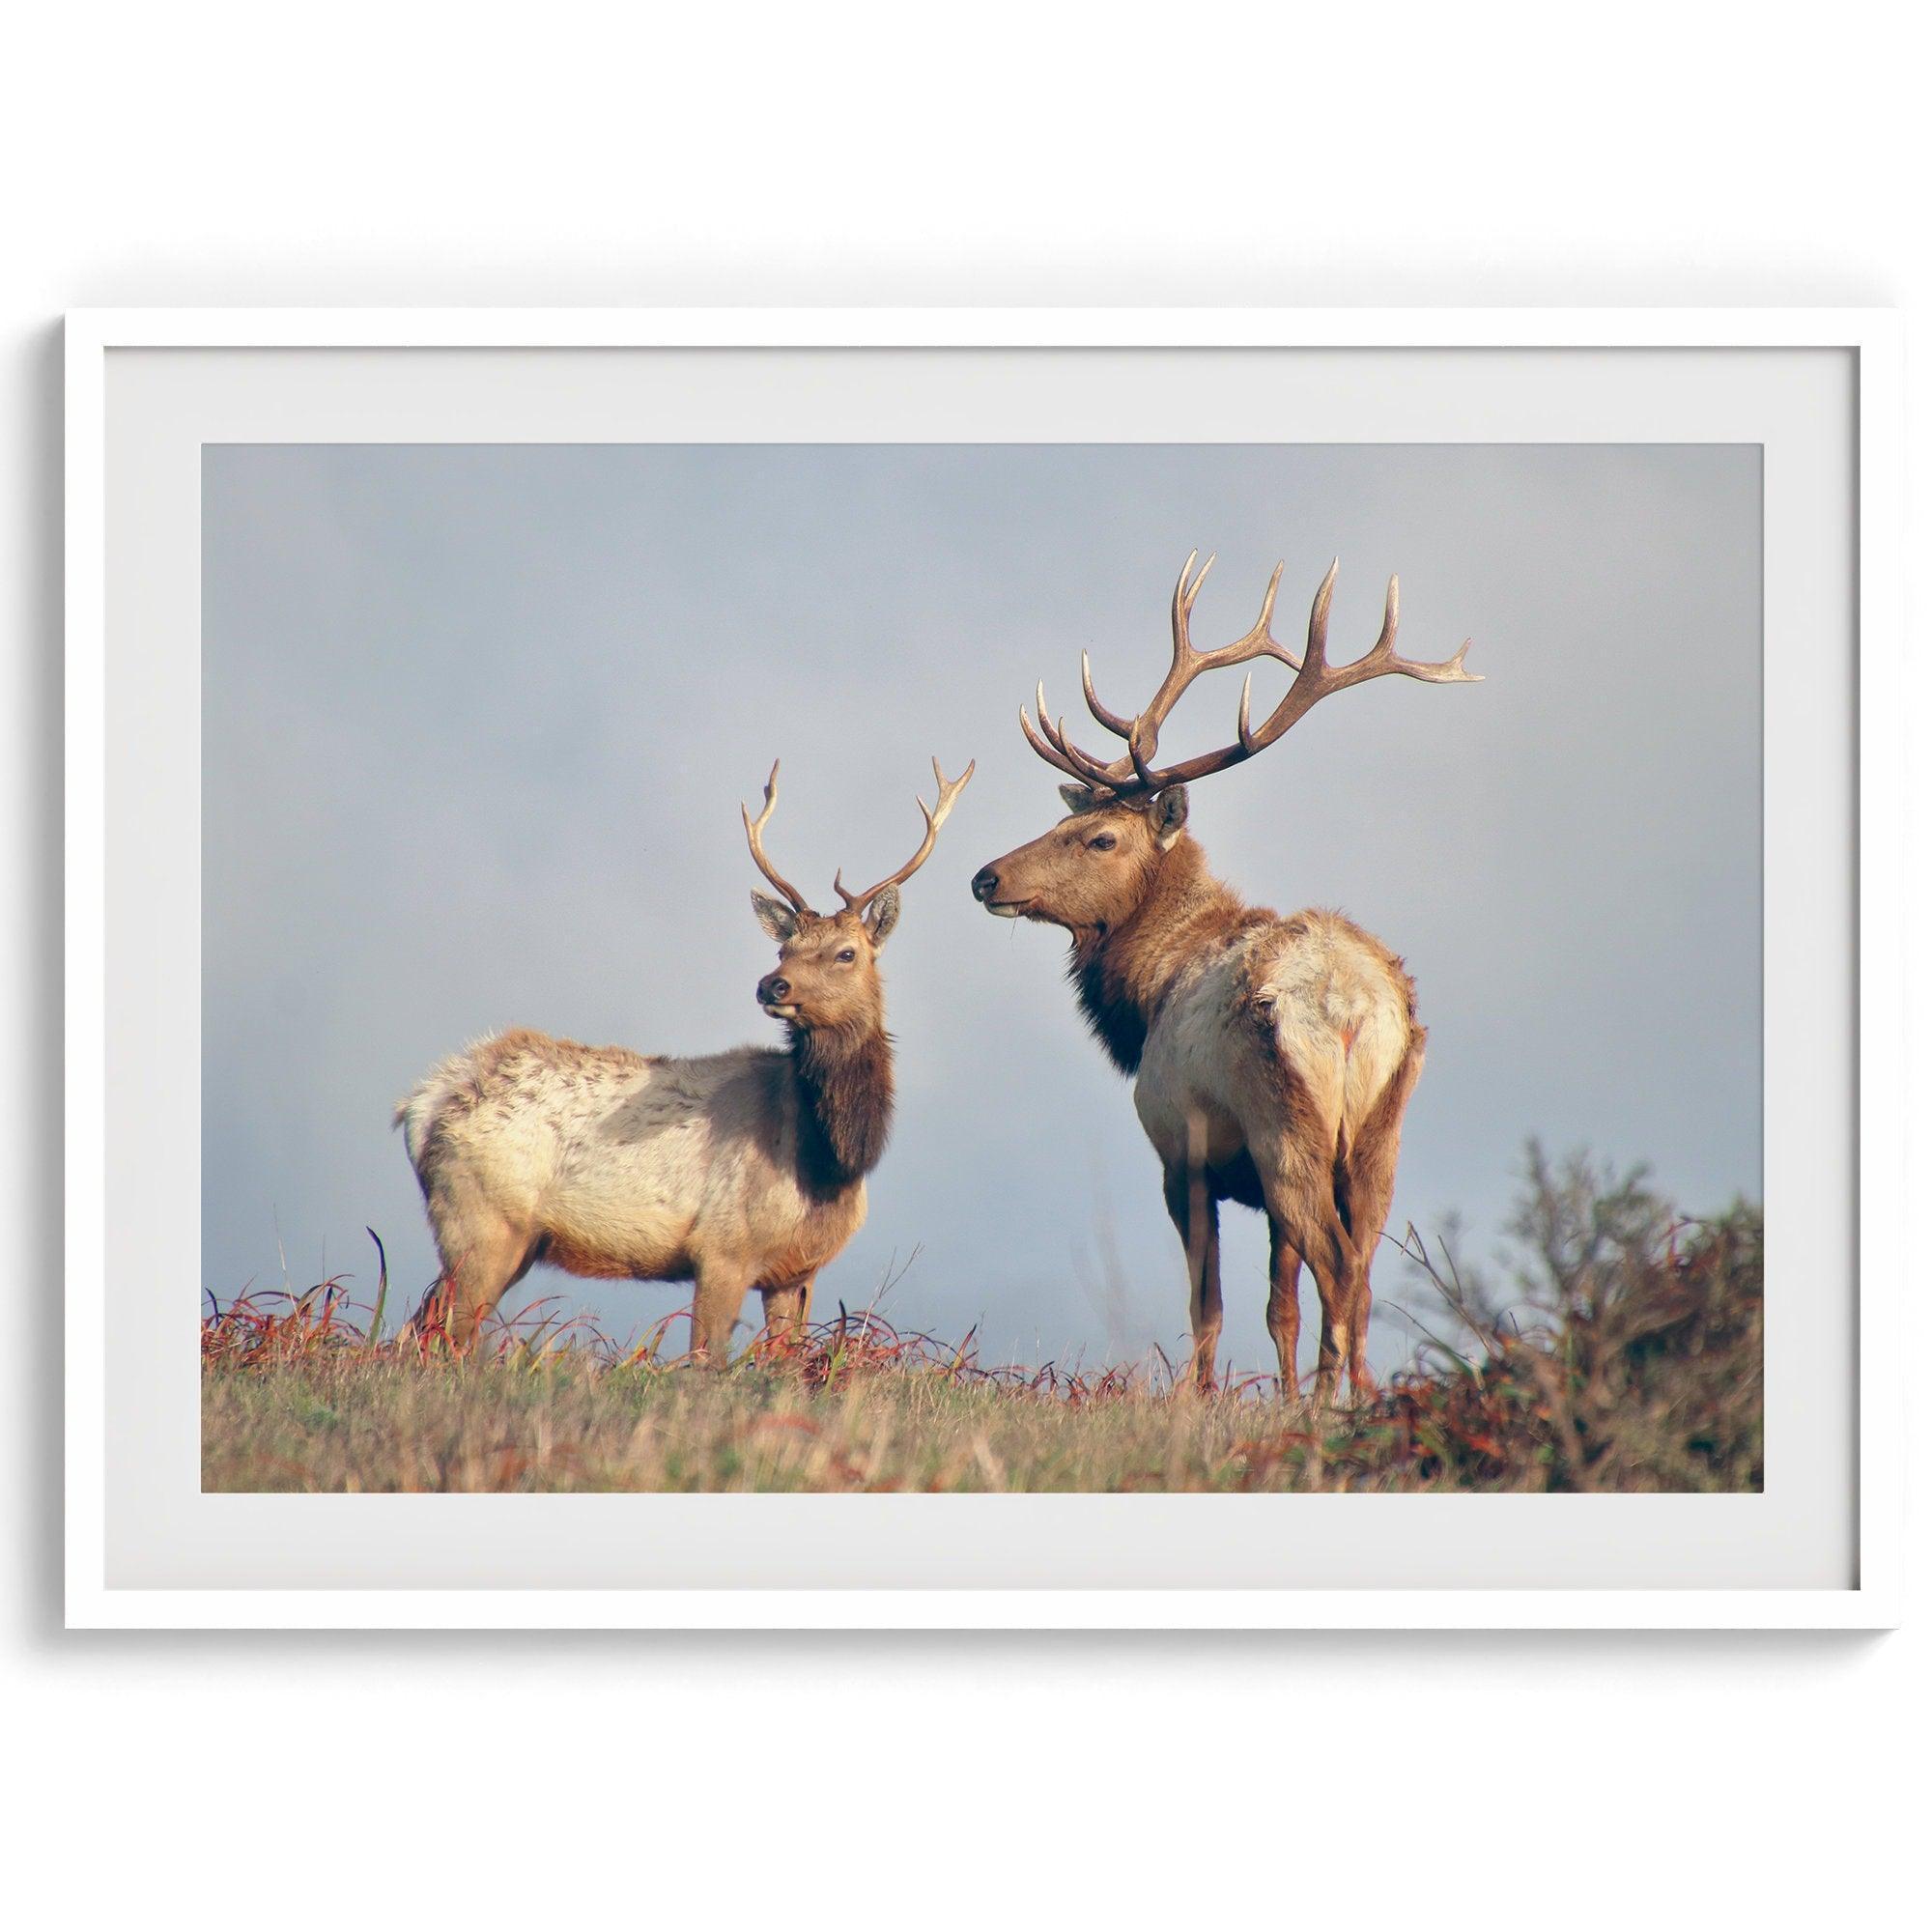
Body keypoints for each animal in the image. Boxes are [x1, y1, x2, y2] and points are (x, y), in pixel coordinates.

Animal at [394, 753, 974, 1360]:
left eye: (846, 953)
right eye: (783, 948)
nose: (772, 985)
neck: (828, 1166)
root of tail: (421, 1105)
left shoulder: (797, 1270)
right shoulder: (721, 1246)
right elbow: (704, 1361)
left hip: (505, 1238)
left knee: (416, 1328)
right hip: (481, 1219)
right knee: (442, 1337)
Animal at [974, 553, 1468, 1399]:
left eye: (1100, 838)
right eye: (1066, 820)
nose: (986, 877)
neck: (1147, 994)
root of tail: (1350, 1008)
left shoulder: (1182, 1152)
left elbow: (1209, 1304)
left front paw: (1199, 1403)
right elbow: (1281, 1309)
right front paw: (1283, 1398)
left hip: (1285, 1130)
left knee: (1340, 1265)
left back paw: (1333, 1406)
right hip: (1380, 1135)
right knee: (1363, 1272)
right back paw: (1358, 1399)